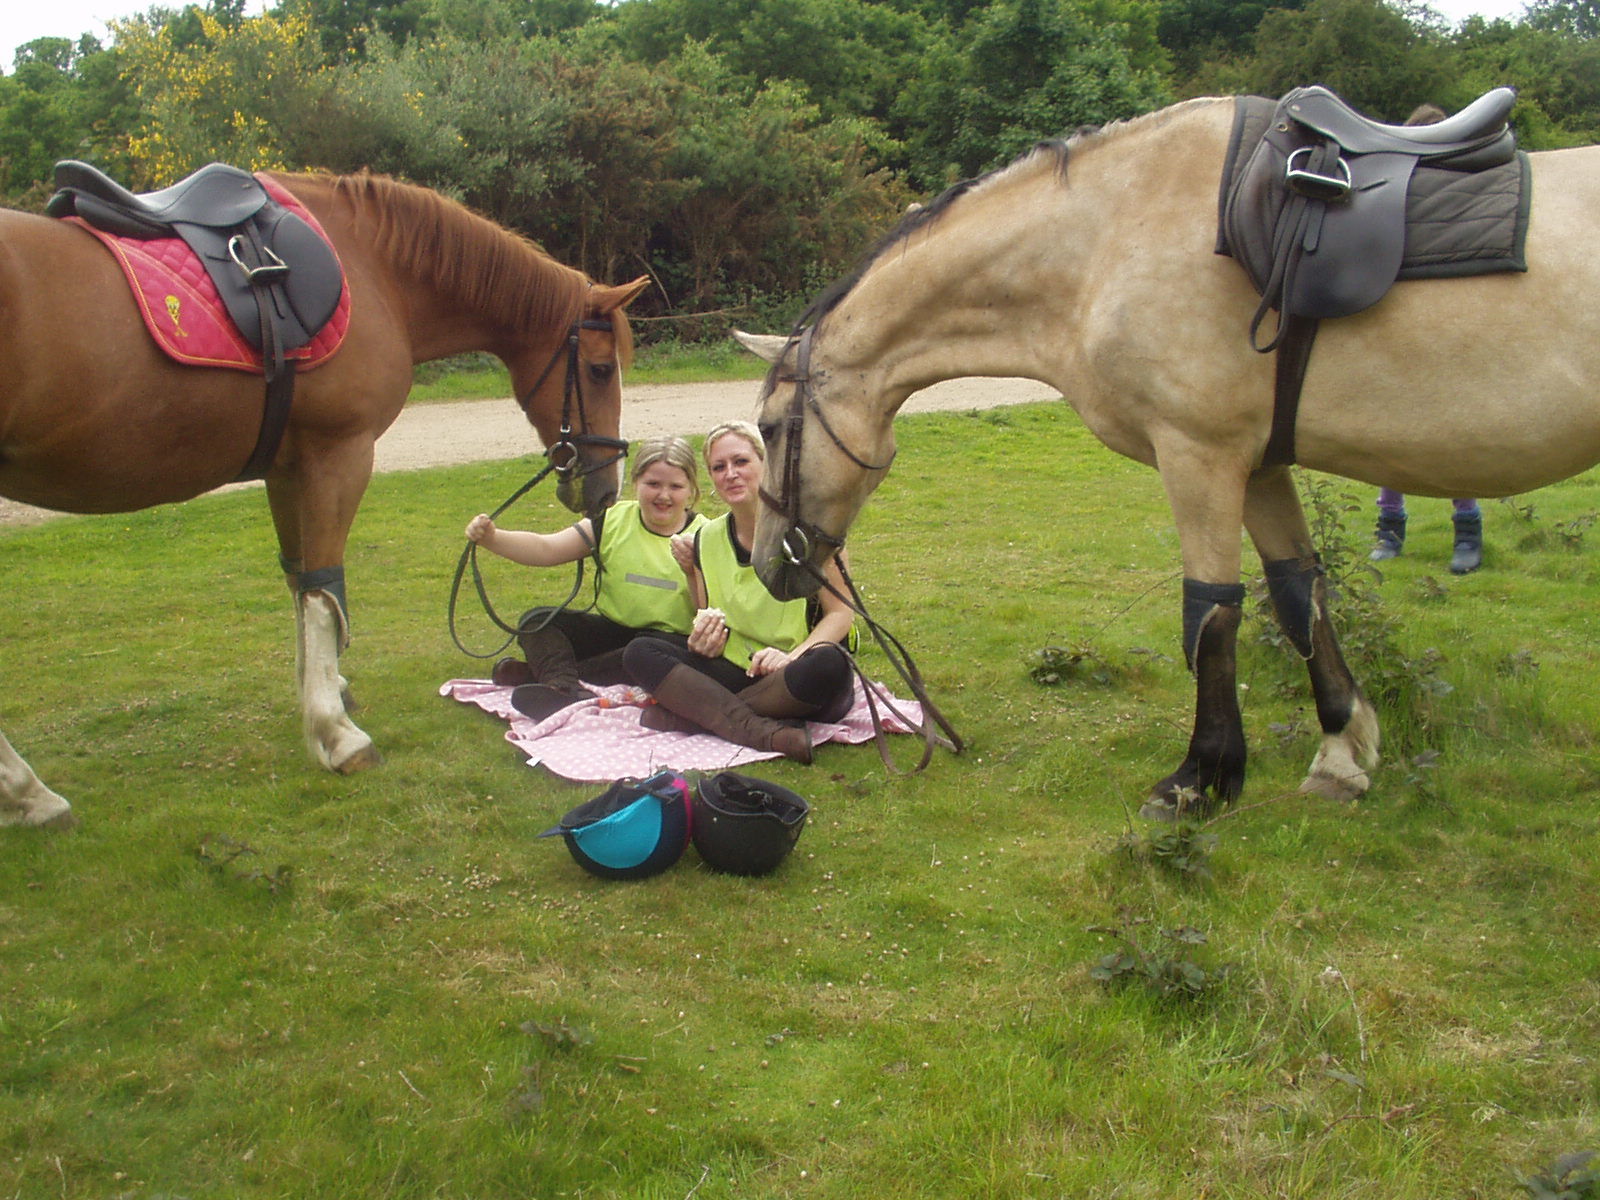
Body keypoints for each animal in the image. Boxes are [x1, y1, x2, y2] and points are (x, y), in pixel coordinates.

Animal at [0, 168, 649, 828]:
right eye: (600, 370)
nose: (604, 488)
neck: (375, 269)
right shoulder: (337, 455)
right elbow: (321, 589)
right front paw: (337, 734)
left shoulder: (287, 467)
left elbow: (299, 581)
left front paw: (326, 690)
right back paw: (30, 793)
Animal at [738, 94, 1600, 817]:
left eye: (773, 428)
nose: (766, 563)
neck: (1105, 244)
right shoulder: (1260, 464)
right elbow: (1299, 592)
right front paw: (1342, 750)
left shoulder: (1200, 455)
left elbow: (1211, 613)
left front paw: (1199, 779)